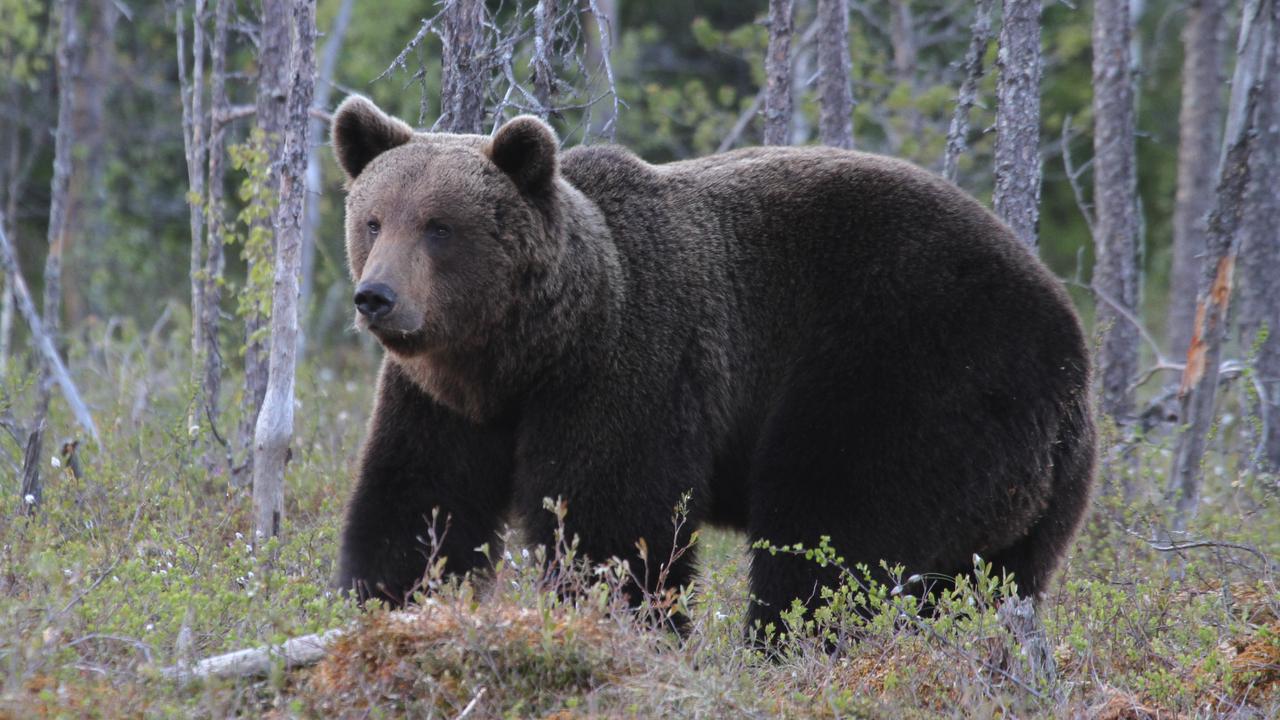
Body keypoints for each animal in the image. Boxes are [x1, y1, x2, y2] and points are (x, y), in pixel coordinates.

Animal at [329, 94, 1096, 636]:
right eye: (373, 219)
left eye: (439, 226)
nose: (376, 297)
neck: (527, 357)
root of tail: (1071, 345)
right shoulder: (441, 403)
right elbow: (418, 505)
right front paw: (386, 603)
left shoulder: (630, 366)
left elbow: (617, 525)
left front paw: (621, 623)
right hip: (1033, 493)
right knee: (990, 581)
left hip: (910, 373)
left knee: (833, 534)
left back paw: (787, 648)